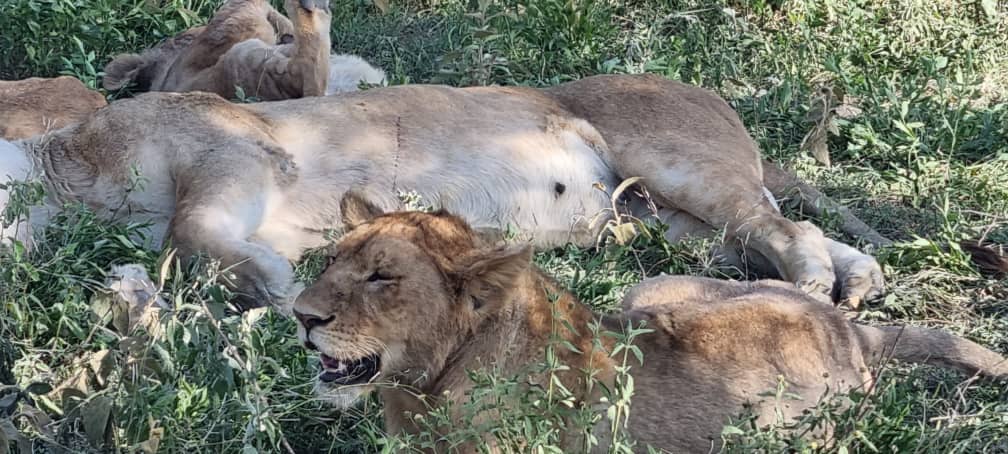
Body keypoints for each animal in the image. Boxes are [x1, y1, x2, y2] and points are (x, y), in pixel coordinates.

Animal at [2, 74, 886, 308]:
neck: (64, 176)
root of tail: (710, 95)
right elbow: (197, 245)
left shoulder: (237, 148)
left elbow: (188, 227)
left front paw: (272, 288)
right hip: (671, 221)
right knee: (770, 226)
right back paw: (859, 278)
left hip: (670, 159)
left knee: (782, 229)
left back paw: (818, 287)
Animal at [291, 193, 1008, 453]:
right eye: (331, 262)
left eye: (381, 277)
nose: (300, 316)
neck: (425, 388)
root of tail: (842, 324)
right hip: (646, 292)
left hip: (775, 433)